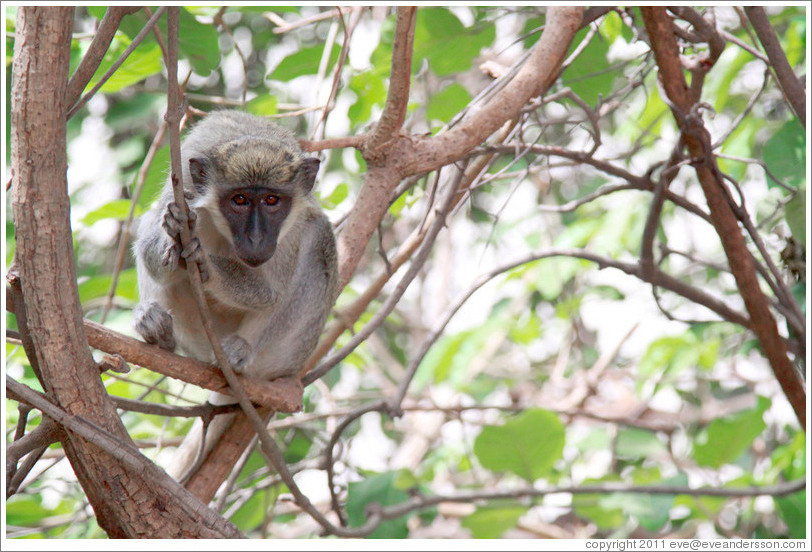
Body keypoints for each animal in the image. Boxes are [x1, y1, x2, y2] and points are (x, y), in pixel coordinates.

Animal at [133, 110, 336, 480]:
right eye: (239, 200)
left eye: (272, 200)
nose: (256, 239)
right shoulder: (182, 184)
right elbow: (149, 247)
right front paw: (174, 235)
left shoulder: (291, 227)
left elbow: (270, 293)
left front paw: (205, 264)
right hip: (195, 334)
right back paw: (157, 329)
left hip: (289, 354)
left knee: (320, 238)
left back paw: (240, 352)